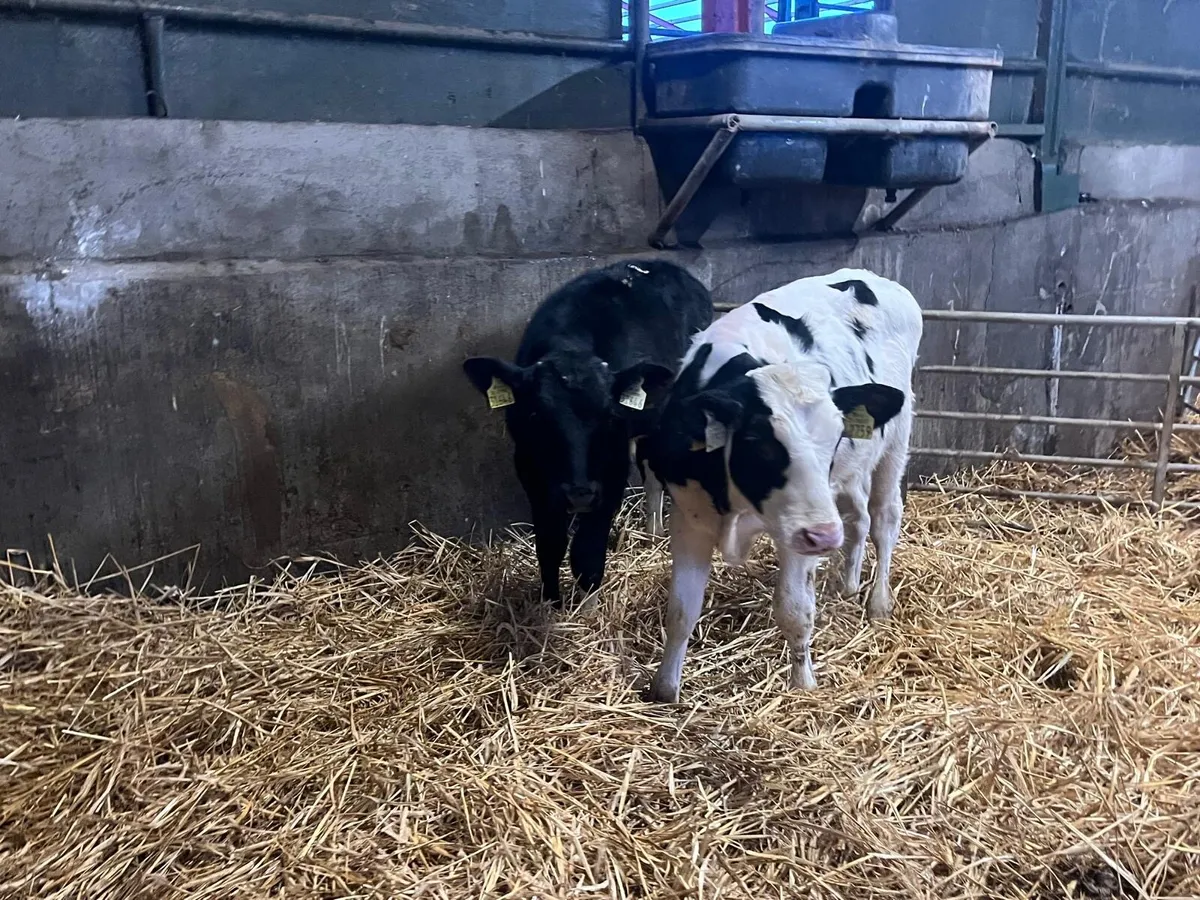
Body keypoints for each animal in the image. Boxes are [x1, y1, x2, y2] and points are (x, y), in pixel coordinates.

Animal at [462, 259, 713, 606]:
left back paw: (655, 531)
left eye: (609, 417)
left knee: (654, 475)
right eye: (536, 416)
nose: (578, 493)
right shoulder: (529, 467)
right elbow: (550, 544)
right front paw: (550, 602)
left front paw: (588, 608)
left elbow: (587, 551)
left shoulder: (611, 471)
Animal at [640, 268, 922, 702]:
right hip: (850, 473)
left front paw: (803, 684)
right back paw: (848, 584)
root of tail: (868, 276)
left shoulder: (801, 534)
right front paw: (665, 688)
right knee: (856, 518)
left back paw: (877, 603)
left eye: (835, 437)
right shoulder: (689, 517)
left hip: (895, 438)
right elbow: (682, 610)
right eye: (759, 442)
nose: (824, 537)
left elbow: (795, 609)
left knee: (884, 519)